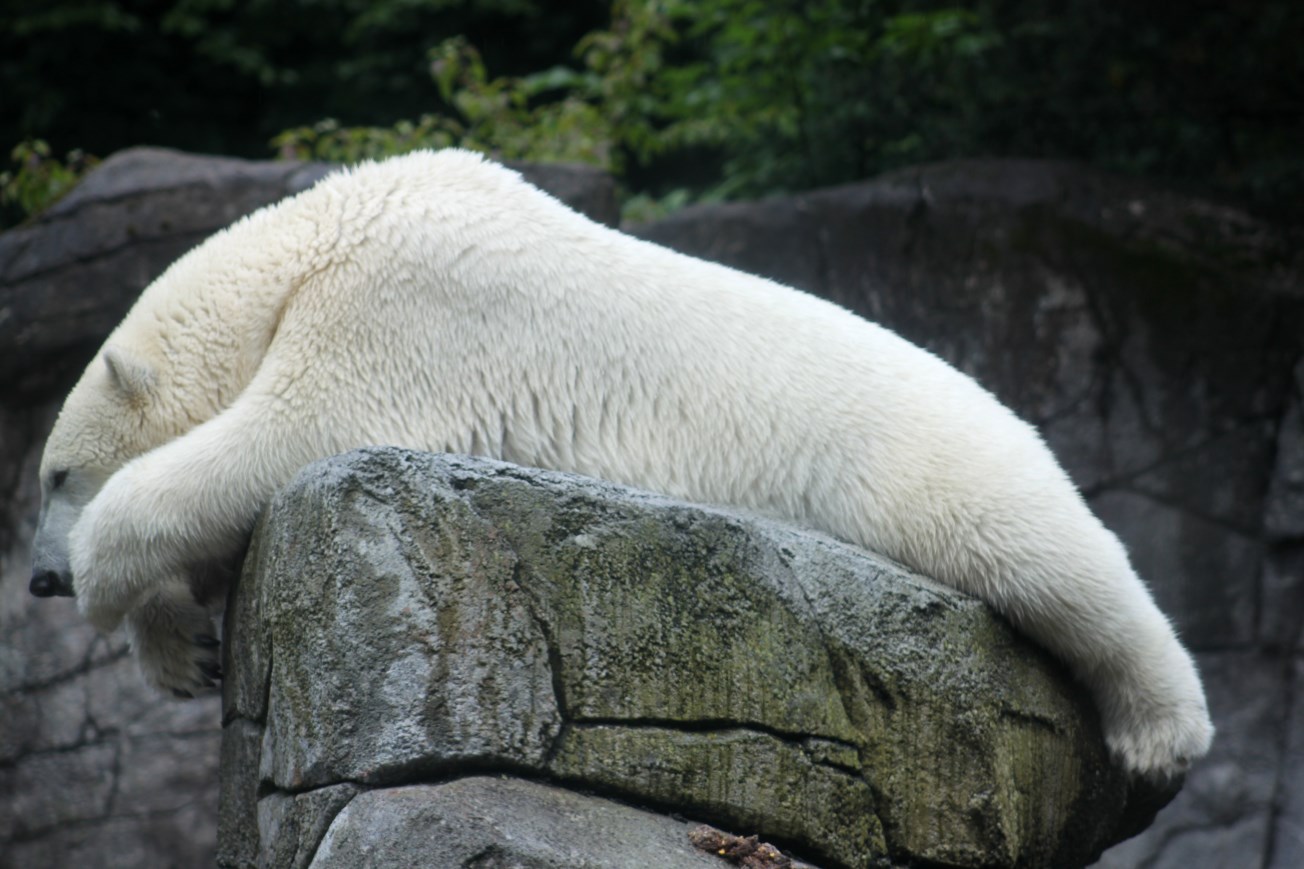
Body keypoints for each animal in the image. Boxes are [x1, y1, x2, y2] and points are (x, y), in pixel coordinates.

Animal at [29, 148, 1212, 781]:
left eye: (51, 476)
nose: (37, 579)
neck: (321, 235)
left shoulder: (405, 307)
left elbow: (291, 430)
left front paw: (105, 575)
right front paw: (181, 647)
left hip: (926, 452)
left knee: (1044, 553)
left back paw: (1161, 727)